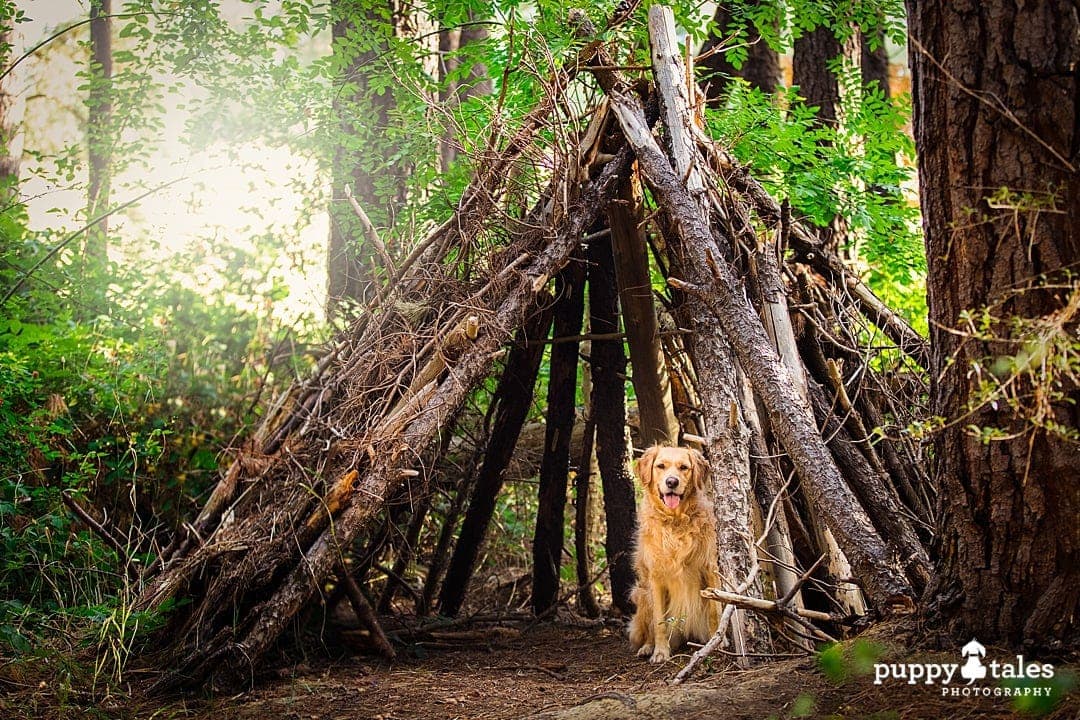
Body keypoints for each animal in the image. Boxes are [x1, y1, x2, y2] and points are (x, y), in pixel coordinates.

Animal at [626, 444, 717, 664]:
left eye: (684, 467)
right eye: (661, 466)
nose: (672, 482)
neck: (675, 521)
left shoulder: (710, 569)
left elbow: (714, 611)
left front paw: (717, 641)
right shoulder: (656, 579)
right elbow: (659, 621)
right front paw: (660, 652)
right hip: (641, 593)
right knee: (648, 627)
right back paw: (647, 647)